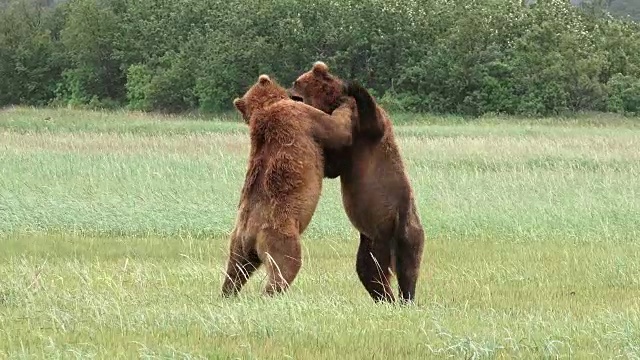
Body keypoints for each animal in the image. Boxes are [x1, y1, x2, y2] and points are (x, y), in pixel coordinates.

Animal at [222, 74, 358, 298]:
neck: (267, 106)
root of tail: (250, 232)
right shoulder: (301, 117)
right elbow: (336, 130)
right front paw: (347, 102)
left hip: (237, 243)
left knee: (234, 271)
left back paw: (227, 293)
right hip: (279, 236)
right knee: (285, 266)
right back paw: (270, 293)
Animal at [288, 62, 424, 304]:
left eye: (297, 81)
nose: (287, 91)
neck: (330, 104)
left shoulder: (365, 130)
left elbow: (371, 118)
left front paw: (351, 85)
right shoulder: (346, 151)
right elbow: (333, 165)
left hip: (402, 225)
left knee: (407, 267)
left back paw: (405, 298)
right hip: (371, 242)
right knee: (369, 271)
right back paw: (385, 298)